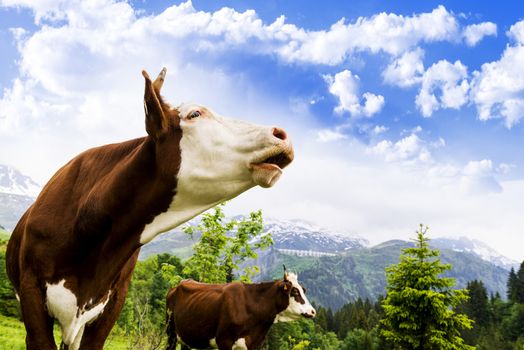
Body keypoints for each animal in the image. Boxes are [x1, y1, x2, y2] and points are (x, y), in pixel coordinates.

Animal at [167, 272, 316, 350]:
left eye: (304, 290)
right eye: (295, 292)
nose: (313, 311)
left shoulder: (254, 345)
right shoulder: (224, 341)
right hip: (171, 334)